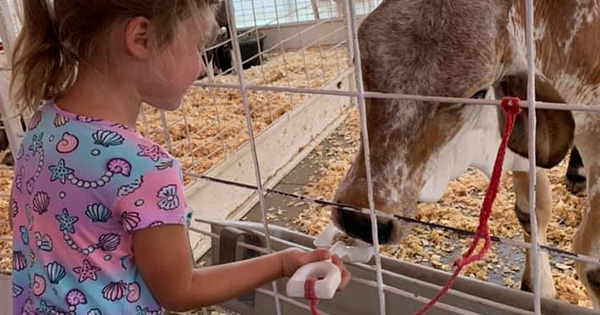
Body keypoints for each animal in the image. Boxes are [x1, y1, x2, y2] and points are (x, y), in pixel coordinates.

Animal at [330, 0, 600, 312]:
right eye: (359, 64)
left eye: (478, 92)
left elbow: (591, 262)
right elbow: (530, 210)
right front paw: (538, 287)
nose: (360, 219)